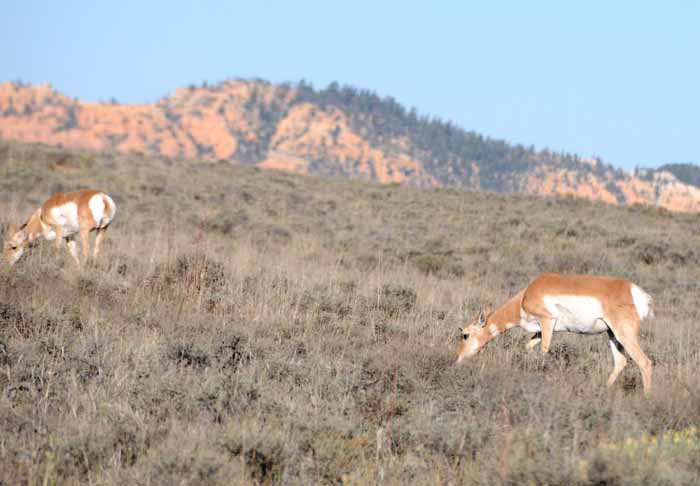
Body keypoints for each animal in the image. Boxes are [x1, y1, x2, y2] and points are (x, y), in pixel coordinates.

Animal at [456, 274, 652, 392]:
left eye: (465, 335)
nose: (457, 360)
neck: (524, 297)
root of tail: (635, 292)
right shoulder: (540, 331)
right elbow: (528, 346)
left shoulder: (547, 322)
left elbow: (543, 351)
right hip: (612, 335)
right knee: (621, 362)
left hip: (624, 335)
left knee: (645, 362)